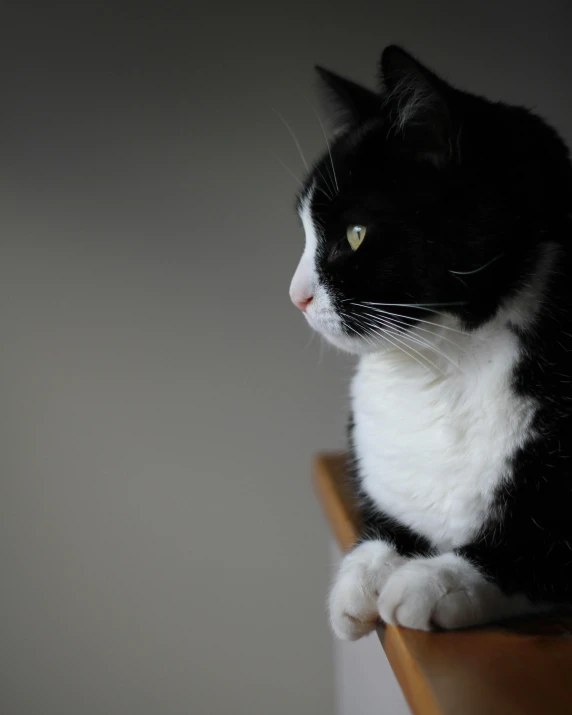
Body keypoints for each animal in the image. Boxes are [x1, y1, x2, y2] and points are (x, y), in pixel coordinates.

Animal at [288, 46, 572, 636]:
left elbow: (531, 548)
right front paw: (362, 577)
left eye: (354, 234)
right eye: (304, 231)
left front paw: (435, 581)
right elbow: (381, 525)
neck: (440, 367)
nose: (295, 295)